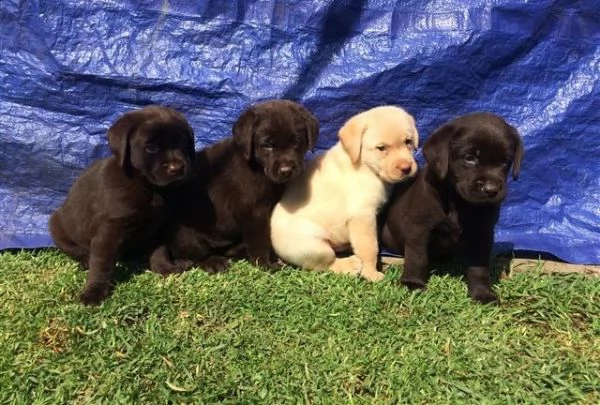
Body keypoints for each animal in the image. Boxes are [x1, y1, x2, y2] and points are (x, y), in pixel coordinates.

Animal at [49, 105, 195, 304]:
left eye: (184, 145)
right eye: (151, 148)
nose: (177, 168)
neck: (148, 187)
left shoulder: (159, 225)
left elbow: (160, 248)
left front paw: (164, 267)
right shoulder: (110, 229)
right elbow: (101, 262)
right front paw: (94, 290)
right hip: (57, 226)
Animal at [150, 99, 318, 274]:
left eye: (297, 142)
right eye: (267, 145)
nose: (286, 171)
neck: (257, 167)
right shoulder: (253, 211)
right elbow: (260, 240)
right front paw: (265, 264)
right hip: (185, 233)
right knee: (195, 254)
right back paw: (213, 262)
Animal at [270, 105, 420, 280]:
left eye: (408, 142)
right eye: (381, 148)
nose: (406, 168)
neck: (365, 165)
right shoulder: (362, 216)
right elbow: (370, 247)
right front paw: (371, 273)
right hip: (315, 247)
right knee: (325, 264)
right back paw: (349, 264)